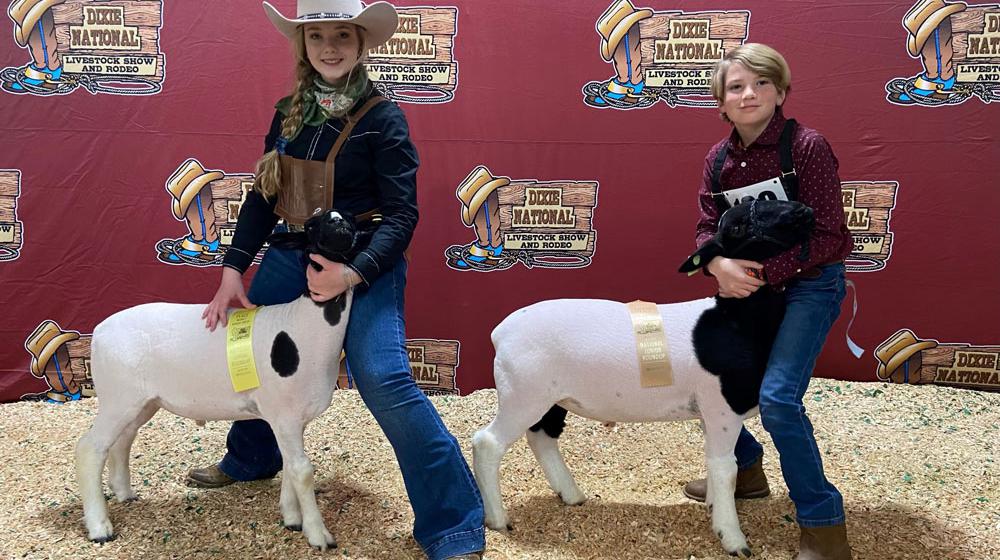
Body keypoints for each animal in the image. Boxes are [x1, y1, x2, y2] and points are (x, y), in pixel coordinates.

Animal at [77, 210, 360, 552]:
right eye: (311, 226)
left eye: (351, 219)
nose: (340, 226)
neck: (305, 325)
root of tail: (99, 331)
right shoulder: (285, 415)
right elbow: (302, 471)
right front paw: (318, 534)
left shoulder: (290, 419)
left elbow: (292, 468)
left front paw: (292, 518)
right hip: (117, 397)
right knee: (91, 449)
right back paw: (100, 527)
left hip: (141, 401)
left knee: (122, 440)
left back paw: (125, 494)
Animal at [474, 199, 812, 556]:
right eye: (737, 226)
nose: (803, 212)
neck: (734, 320)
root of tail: (500, 332)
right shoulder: (722, 409)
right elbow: (725, 468)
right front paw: (733, 539)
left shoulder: (708, 412)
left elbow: (714, 466)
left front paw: (713, 510)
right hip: (523, 395)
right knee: (487, 443)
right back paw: (498, 520)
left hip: (552, 398)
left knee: (542, 437)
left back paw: (572, 495)